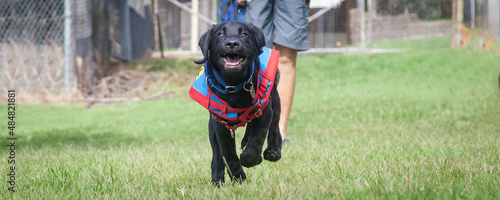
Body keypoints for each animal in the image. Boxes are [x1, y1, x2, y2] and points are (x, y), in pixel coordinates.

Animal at [189, 21, 282, 185]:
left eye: (244, 34)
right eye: (220, 34)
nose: (232, 43)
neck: (233, 85)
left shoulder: (264, 112)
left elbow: (255, 140)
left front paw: (251, 159)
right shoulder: (220, 123)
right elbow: (227, 152)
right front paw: (238, 175)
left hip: (275, 100)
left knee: (275, 126)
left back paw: (274, 150)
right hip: (212, 127)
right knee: (217, 154)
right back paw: (217, 181)